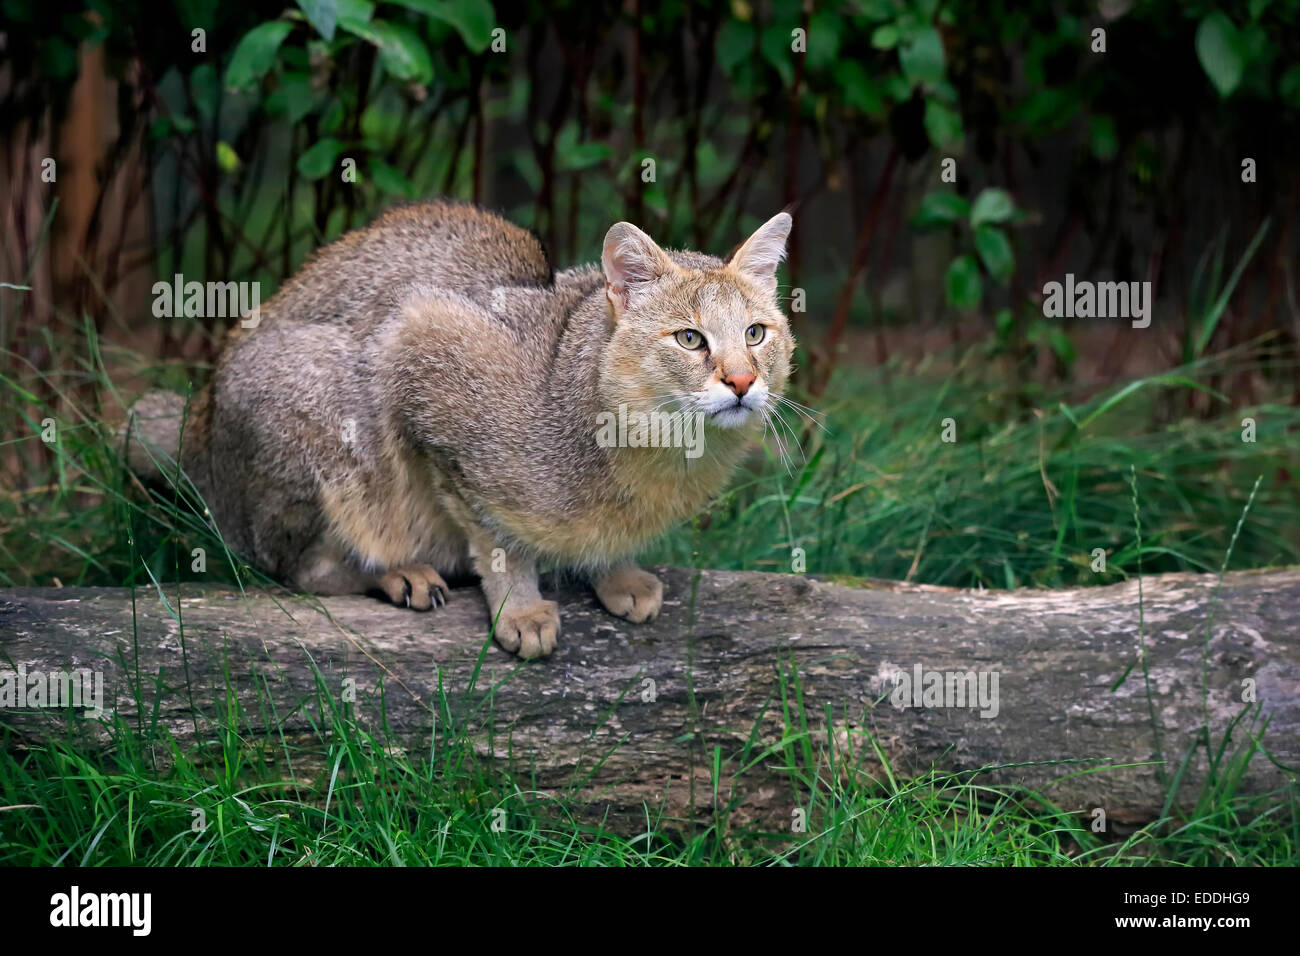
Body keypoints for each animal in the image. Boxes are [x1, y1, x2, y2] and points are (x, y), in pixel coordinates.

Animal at [124, 201, 790, 658]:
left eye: (756, 332)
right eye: (690, 338)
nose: (741, 380)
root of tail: (199, 435)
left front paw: (614, 572)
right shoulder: (419, 347)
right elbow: (494, 534)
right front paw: (519, 608)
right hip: (316, 406)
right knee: (293, 566)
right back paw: (396, 571)